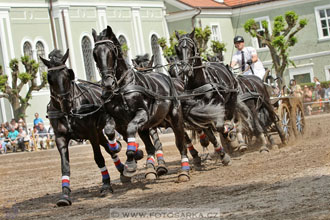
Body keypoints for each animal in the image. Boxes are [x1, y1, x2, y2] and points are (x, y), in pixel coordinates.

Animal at [40, 49, 125, 206]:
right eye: (49, 78)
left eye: (68, 74)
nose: (66, 104)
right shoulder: (60, 138)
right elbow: (65, 166)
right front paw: (65, 194)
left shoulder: (91, 133)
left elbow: (98, 158)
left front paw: (106, 185)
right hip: (98, 132)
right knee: (108, 147)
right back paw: (122, 168)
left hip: (107, 127)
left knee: (111, 145)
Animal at [93, 25, 226, 181]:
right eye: (95, 54)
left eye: (111, 52)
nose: (108, 83)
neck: (122, 88)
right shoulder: (118, 119)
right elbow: (110, 131)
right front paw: (121, 150)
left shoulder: (143, 114)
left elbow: (133, 130)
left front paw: (132, 162)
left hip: (175, 117)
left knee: (183, 142)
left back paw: (186, 169)